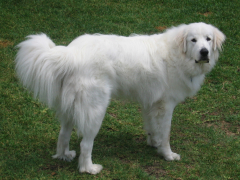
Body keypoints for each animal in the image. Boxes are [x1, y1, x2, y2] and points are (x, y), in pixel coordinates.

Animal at [15, 22, 225, 174]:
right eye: (193, 40)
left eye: (208, 39)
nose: (204, 52)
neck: (177, 53)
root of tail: (71, 53)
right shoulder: (165, 106)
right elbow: (165, 133)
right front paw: (168, 155)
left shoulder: (150, 103)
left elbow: (152, 128)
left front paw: (153, 144)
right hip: (95, 110)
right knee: (85, 144)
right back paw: (89, 169)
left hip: (70, 109)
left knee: (63, 135)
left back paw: (64, 155)